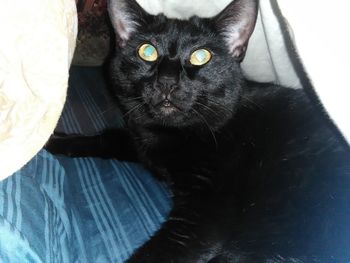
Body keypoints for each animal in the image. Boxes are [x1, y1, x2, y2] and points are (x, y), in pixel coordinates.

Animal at [45, 0, 350, 262]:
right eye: (147, 51)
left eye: (201, 56)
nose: (167, 81)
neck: (172, 134)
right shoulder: (141, 141)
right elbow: (107, 137)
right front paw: (53, 140)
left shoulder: (203, 214)